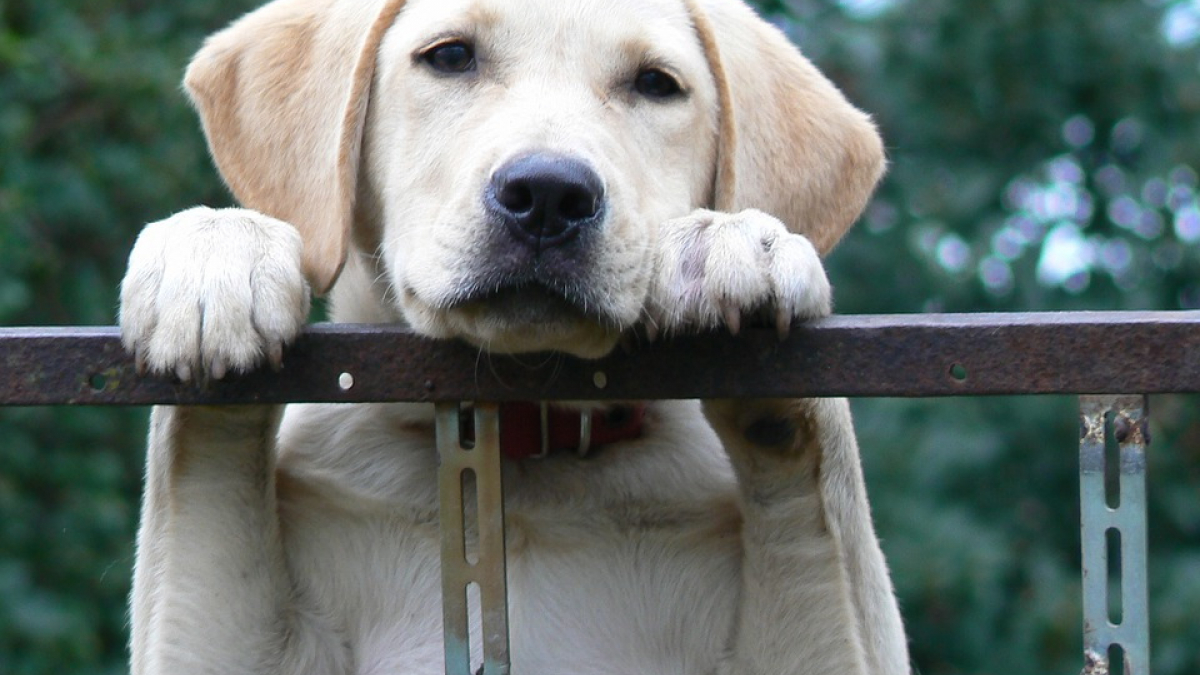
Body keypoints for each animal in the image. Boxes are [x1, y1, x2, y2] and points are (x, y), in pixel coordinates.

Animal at [119, 0, 907, 667]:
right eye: (450, 56)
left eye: (656, 84)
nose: (549, 195)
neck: (525, 449)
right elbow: (205, 458)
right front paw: (215, 254)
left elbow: (821, 482)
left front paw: (735, 240)